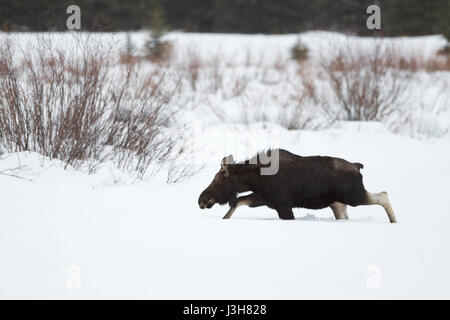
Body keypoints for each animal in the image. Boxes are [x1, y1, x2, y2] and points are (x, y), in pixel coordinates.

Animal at [199, 149, 396, 222]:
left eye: (217, 180)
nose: (201, 200)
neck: (255, 178)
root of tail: (357, 166)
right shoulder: (265, 198)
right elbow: (238, 201)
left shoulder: (283, 205)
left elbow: (237, 201)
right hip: (338, 203)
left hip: (353, 196)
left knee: (383, 195)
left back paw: (394, 221)